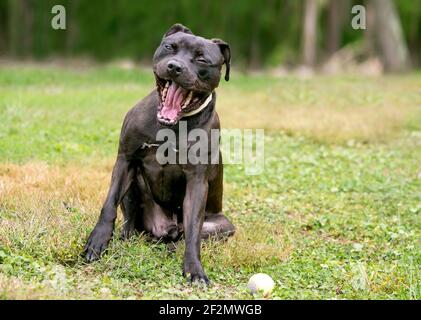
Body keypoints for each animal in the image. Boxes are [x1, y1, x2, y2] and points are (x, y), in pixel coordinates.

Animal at [83, 23, 235, 282]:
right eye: (169, 47)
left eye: (202, 59)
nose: (175, 66)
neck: (172, 125)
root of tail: (165, 228)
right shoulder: (125, 160)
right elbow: (109, 205)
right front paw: (97, 241)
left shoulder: (197, 181)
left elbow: (193, 231)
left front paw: (194, 268)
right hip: (134, 186)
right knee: (131, 223)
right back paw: (125, 239)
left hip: (222, 225)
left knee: (186, 235)